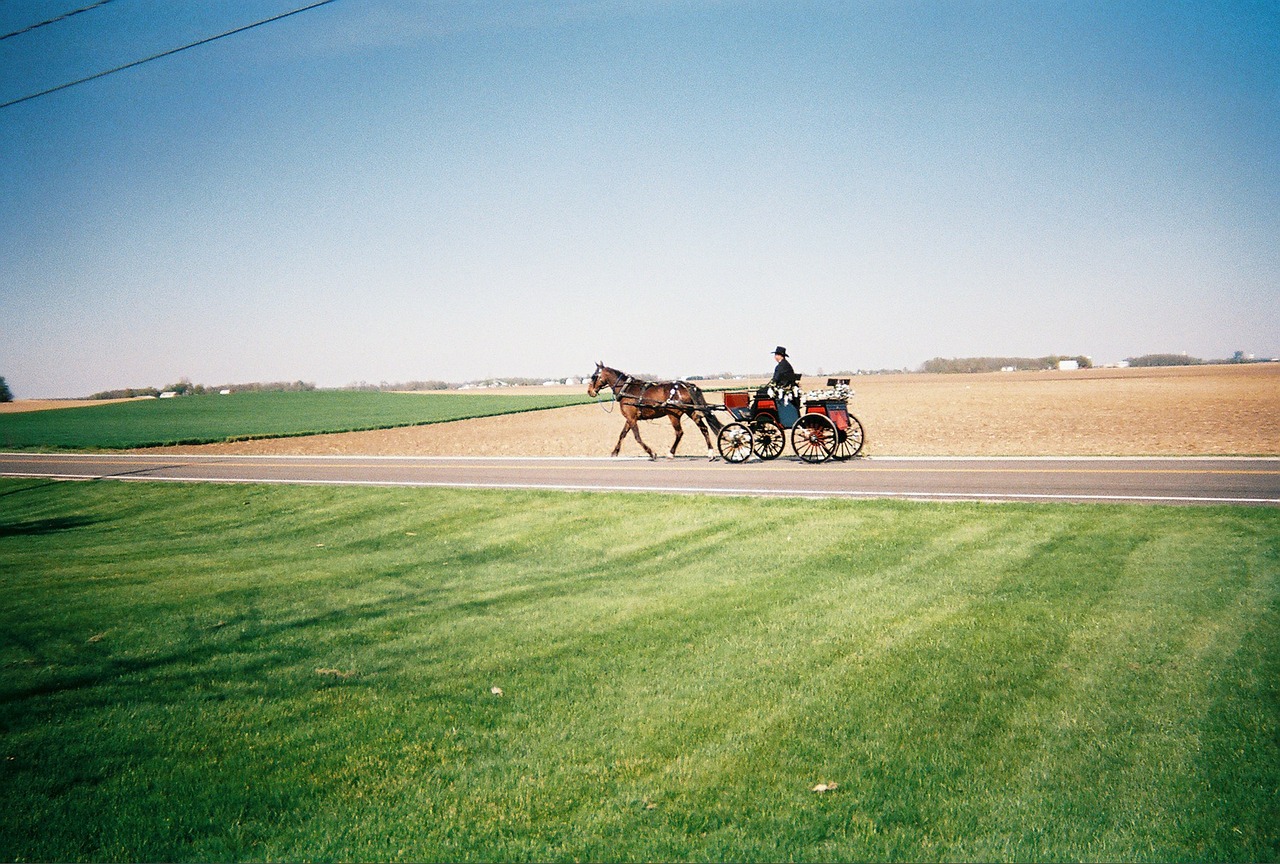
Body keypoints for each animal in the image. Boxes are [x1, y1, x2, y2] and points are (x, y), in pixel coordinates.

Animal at [586, 363, 727, 460]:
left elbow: (637, 437)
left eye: (594, 376)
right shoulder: (630, 418)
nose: (589, 391)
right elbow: (622, 434)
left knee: (679, 432)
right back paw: (710, 453)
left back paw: (671, 453)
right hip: (690, 411)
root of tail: (686, 385)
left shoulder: (632, 418)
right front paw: (615, 452)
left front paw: (651, 452)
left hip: (673, 414)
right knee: (703, 428)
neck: (626, 389)